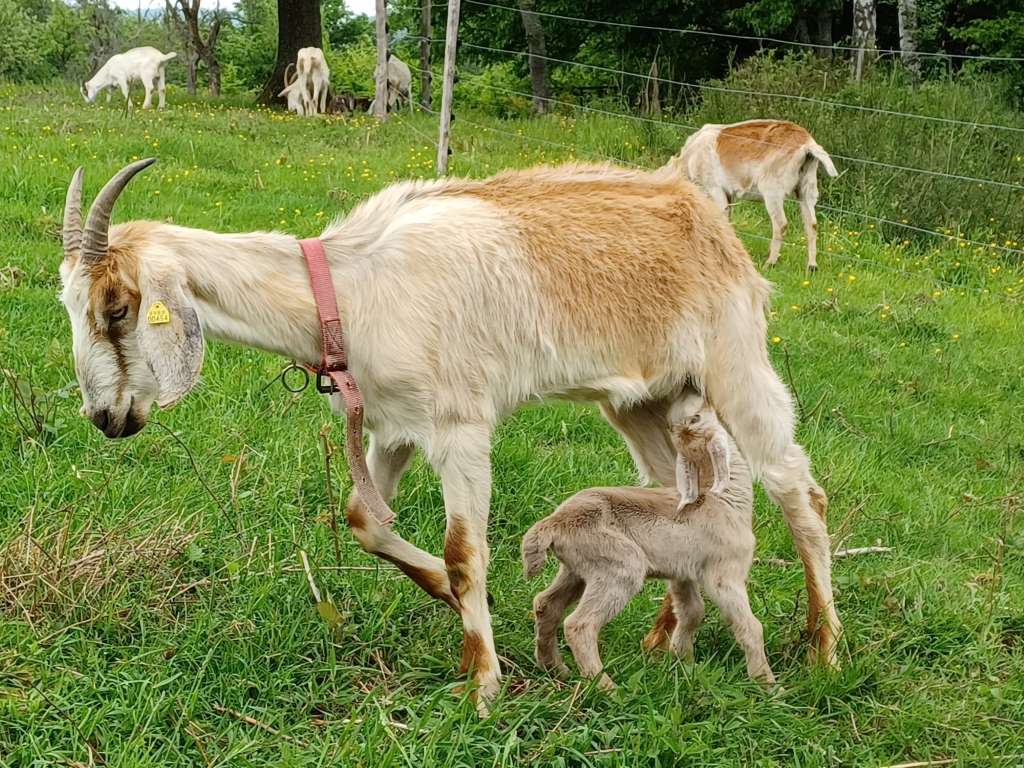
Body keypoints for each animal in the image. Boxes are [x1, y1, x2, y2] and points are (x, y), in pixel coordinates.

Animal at [524, 397, 770, 692]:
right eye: (696, 418)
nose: (704, 398)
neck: (724, 500)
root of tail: (554, 523)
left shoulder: (682, 574)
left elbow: (691, 612)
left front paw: (683, 663)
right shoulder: (724, 574)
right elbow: (749, 626)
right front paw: (766, 684)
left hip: (578, 567)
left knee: (546, 604)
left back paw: (554, 668)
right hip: (620, 565)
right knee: (579, 624)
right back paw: (605, 687)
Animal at [675, 120, 835, 274]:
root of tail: (807, 144)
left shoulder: (715, 189)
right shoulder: (728, 195)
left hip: (772, 191)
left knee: (780, 224)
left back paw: (770, 263)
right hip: (806, 188)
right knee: (811, 224)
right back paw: (812, 267)